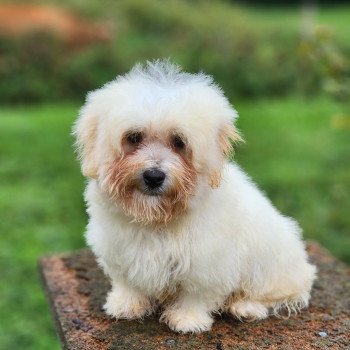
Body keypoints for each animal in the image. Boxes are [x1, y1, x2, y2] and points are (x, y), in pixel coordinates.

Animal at [73, 60, 318, 334]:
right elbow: (129, 282)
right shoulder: (121, 250)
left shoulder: (206, 261)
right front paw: (127, 304)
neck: (156, 217)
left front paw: (187, 319)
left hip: (273, 263)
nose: (154, 176)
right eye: (133, 137)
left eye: (179, 142)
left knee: (277, 293)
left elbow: (196, 293)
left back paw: (245, 307)